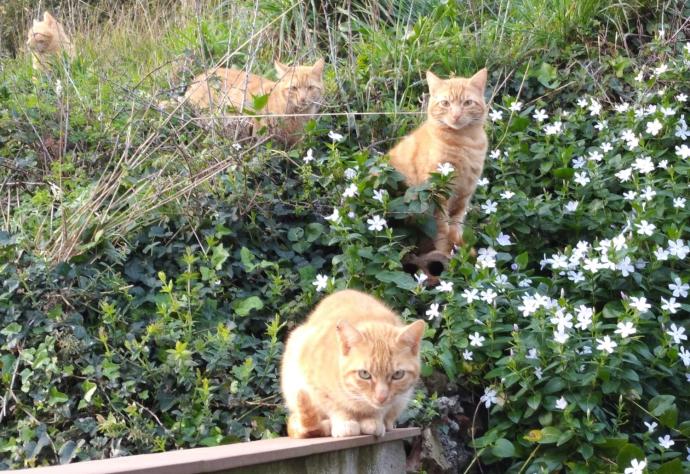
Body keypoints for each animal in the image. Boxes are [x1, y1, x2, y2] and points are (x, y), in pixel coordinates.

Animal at [181, 58, 324, 146]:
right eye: (294, 88)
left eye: (310, 88)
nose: (303, 99)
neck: (296, 115)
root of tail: (196, 79)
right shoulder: (261, 135)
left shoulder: (296, 141)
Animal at [280, 290, 424, 438]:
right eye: (364, 374)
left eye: (398, 375)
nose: (381, 397)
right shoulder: (314, 385)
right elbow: (335, 404)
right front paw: (345, 422)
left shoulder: (395, 398)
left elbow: (381, 409)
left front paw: (373, 420)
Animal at [388, 67, 490, 256]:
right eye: (445, 103)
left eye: (467, 103)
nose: (456, 115)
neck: (465, 142)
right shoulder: (438, 196)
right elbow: (442, 229)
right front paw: (445, 253)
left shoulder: (463, 195)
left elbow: (455, 225)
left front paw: (461, 249)